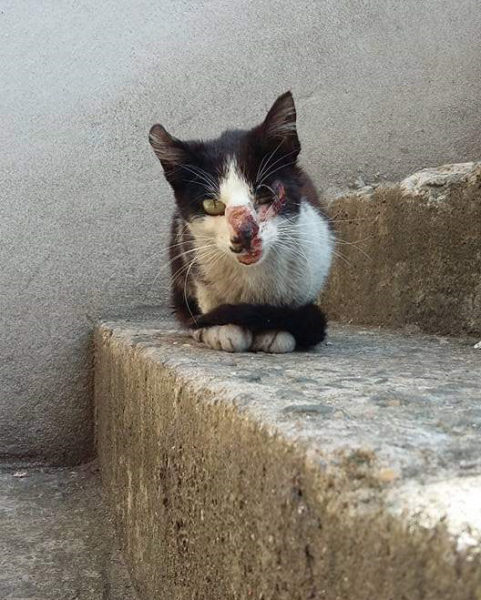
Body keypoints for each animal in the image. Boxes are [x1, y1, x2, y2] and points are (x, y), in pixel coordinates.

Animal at [148, 89, 332, 352]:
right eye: (212, 205)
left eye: (266, 194)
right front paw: (223, 329)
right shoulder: (192, 256)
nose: (245, 233)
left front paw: (276, 331)